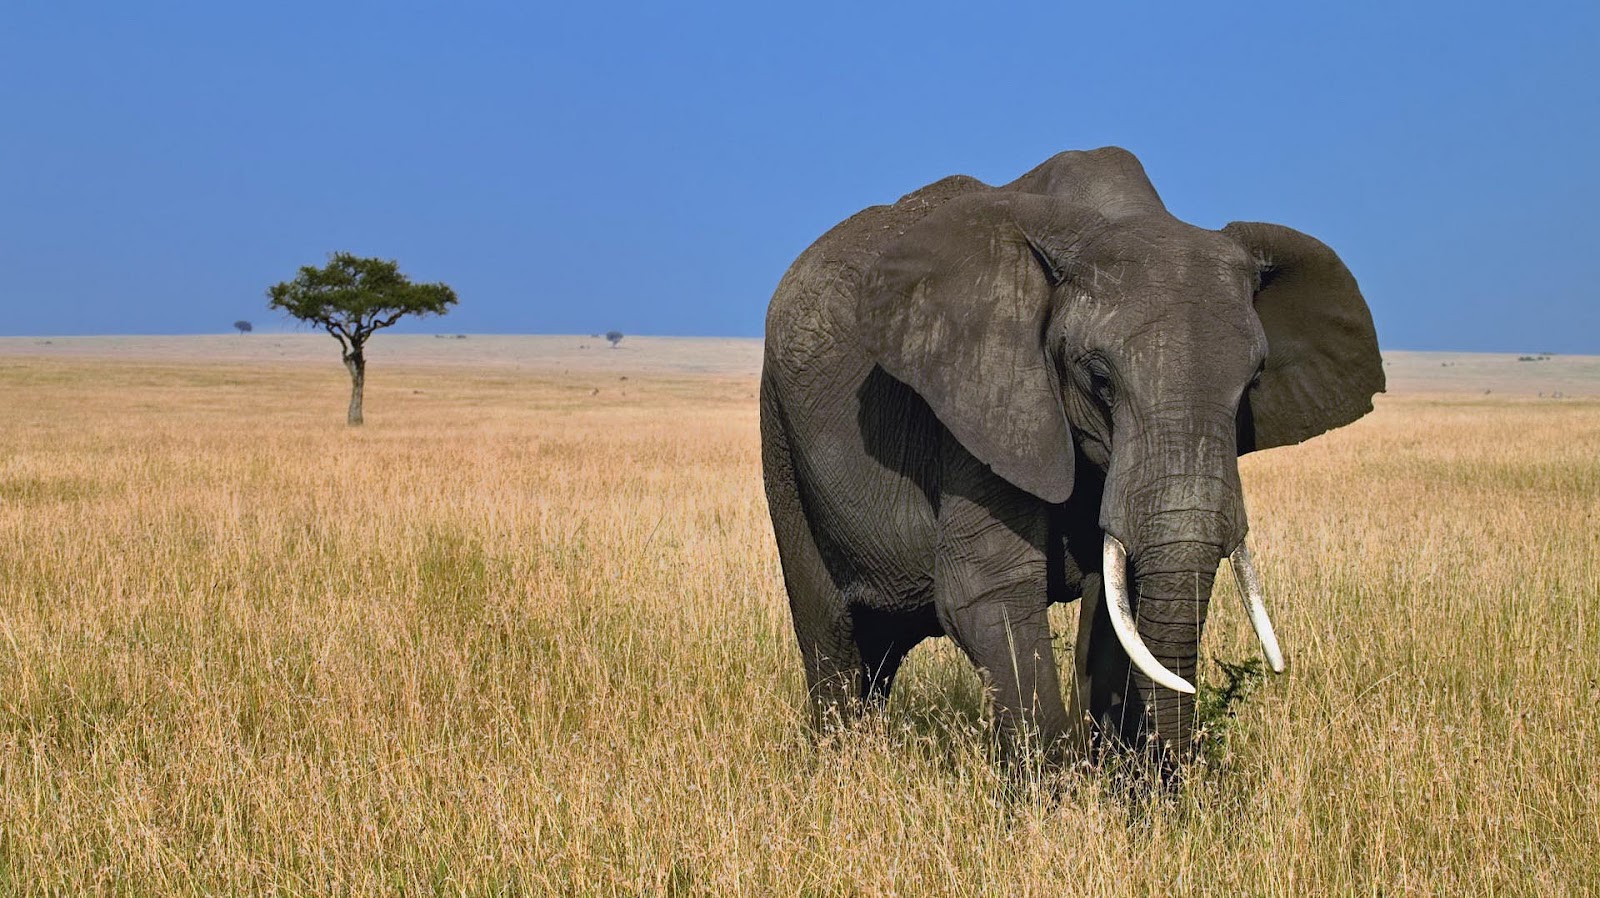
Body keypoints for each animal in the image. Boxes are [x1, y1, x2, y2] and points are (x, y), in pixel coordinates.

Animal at [755, 147, 1382, 761]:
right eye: (1099, 380)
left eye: (1252, 383)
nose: (1176, 772)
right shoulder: (985, 397)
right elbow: (988, 589)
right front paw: (1057, 789)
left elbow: (1115, 605)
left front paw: (1120, 779)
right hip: (780, 435)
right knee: (832, 633)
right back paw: (840, 761)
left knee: (881, 650)